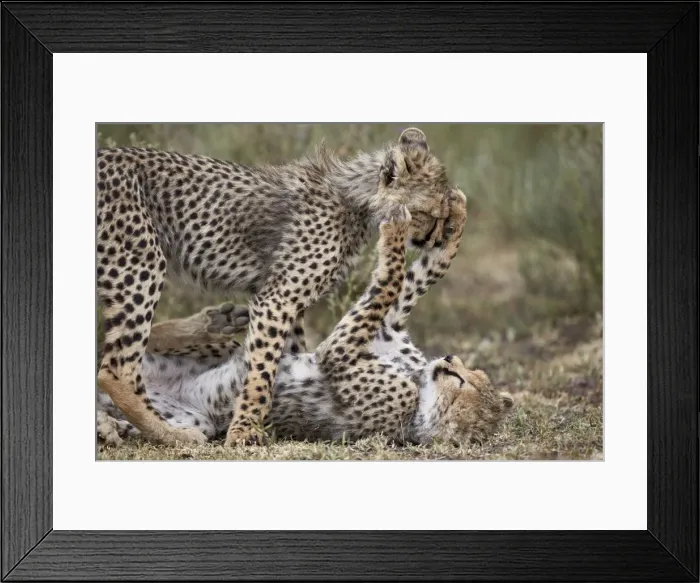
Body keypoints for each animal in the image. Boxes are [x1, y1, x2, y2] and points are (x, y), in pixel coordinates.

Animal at [96, 127, 456, 447]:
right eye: (432, 215)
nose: (437, 239)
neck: (355, 200)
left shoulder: (288, 303)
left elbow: (285, 355)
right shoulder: (278, 298)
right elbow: (262, 370)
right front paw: (244, 430)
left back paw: (213, 324)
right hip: (141, 260)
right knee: (117, 369)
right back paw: (173, 435)